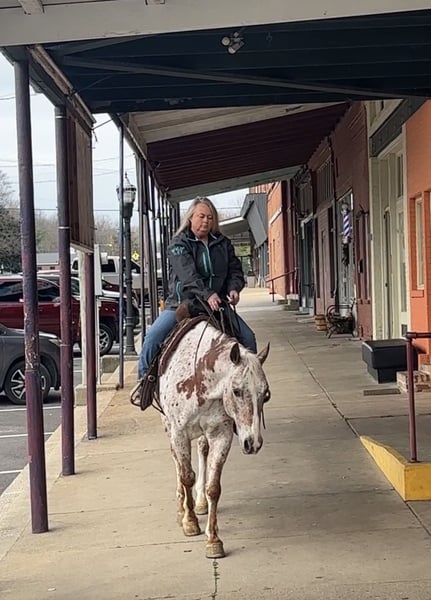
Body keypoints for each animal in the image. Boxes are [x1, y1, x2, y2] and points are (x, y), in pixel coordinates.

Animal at [157, 320, 270, 559]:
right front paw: (190, 521)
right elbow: (186, 476)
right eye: (236, 391)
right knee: (177, 462)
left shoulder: (221, 433)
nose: (253, 443)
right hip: (168, 426)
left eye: (265, 394)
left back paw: (199, 503)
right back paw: (182, 507)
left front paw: (213, 540)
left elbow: (213, 487)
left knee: (202, 450)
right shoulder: (179, 432)